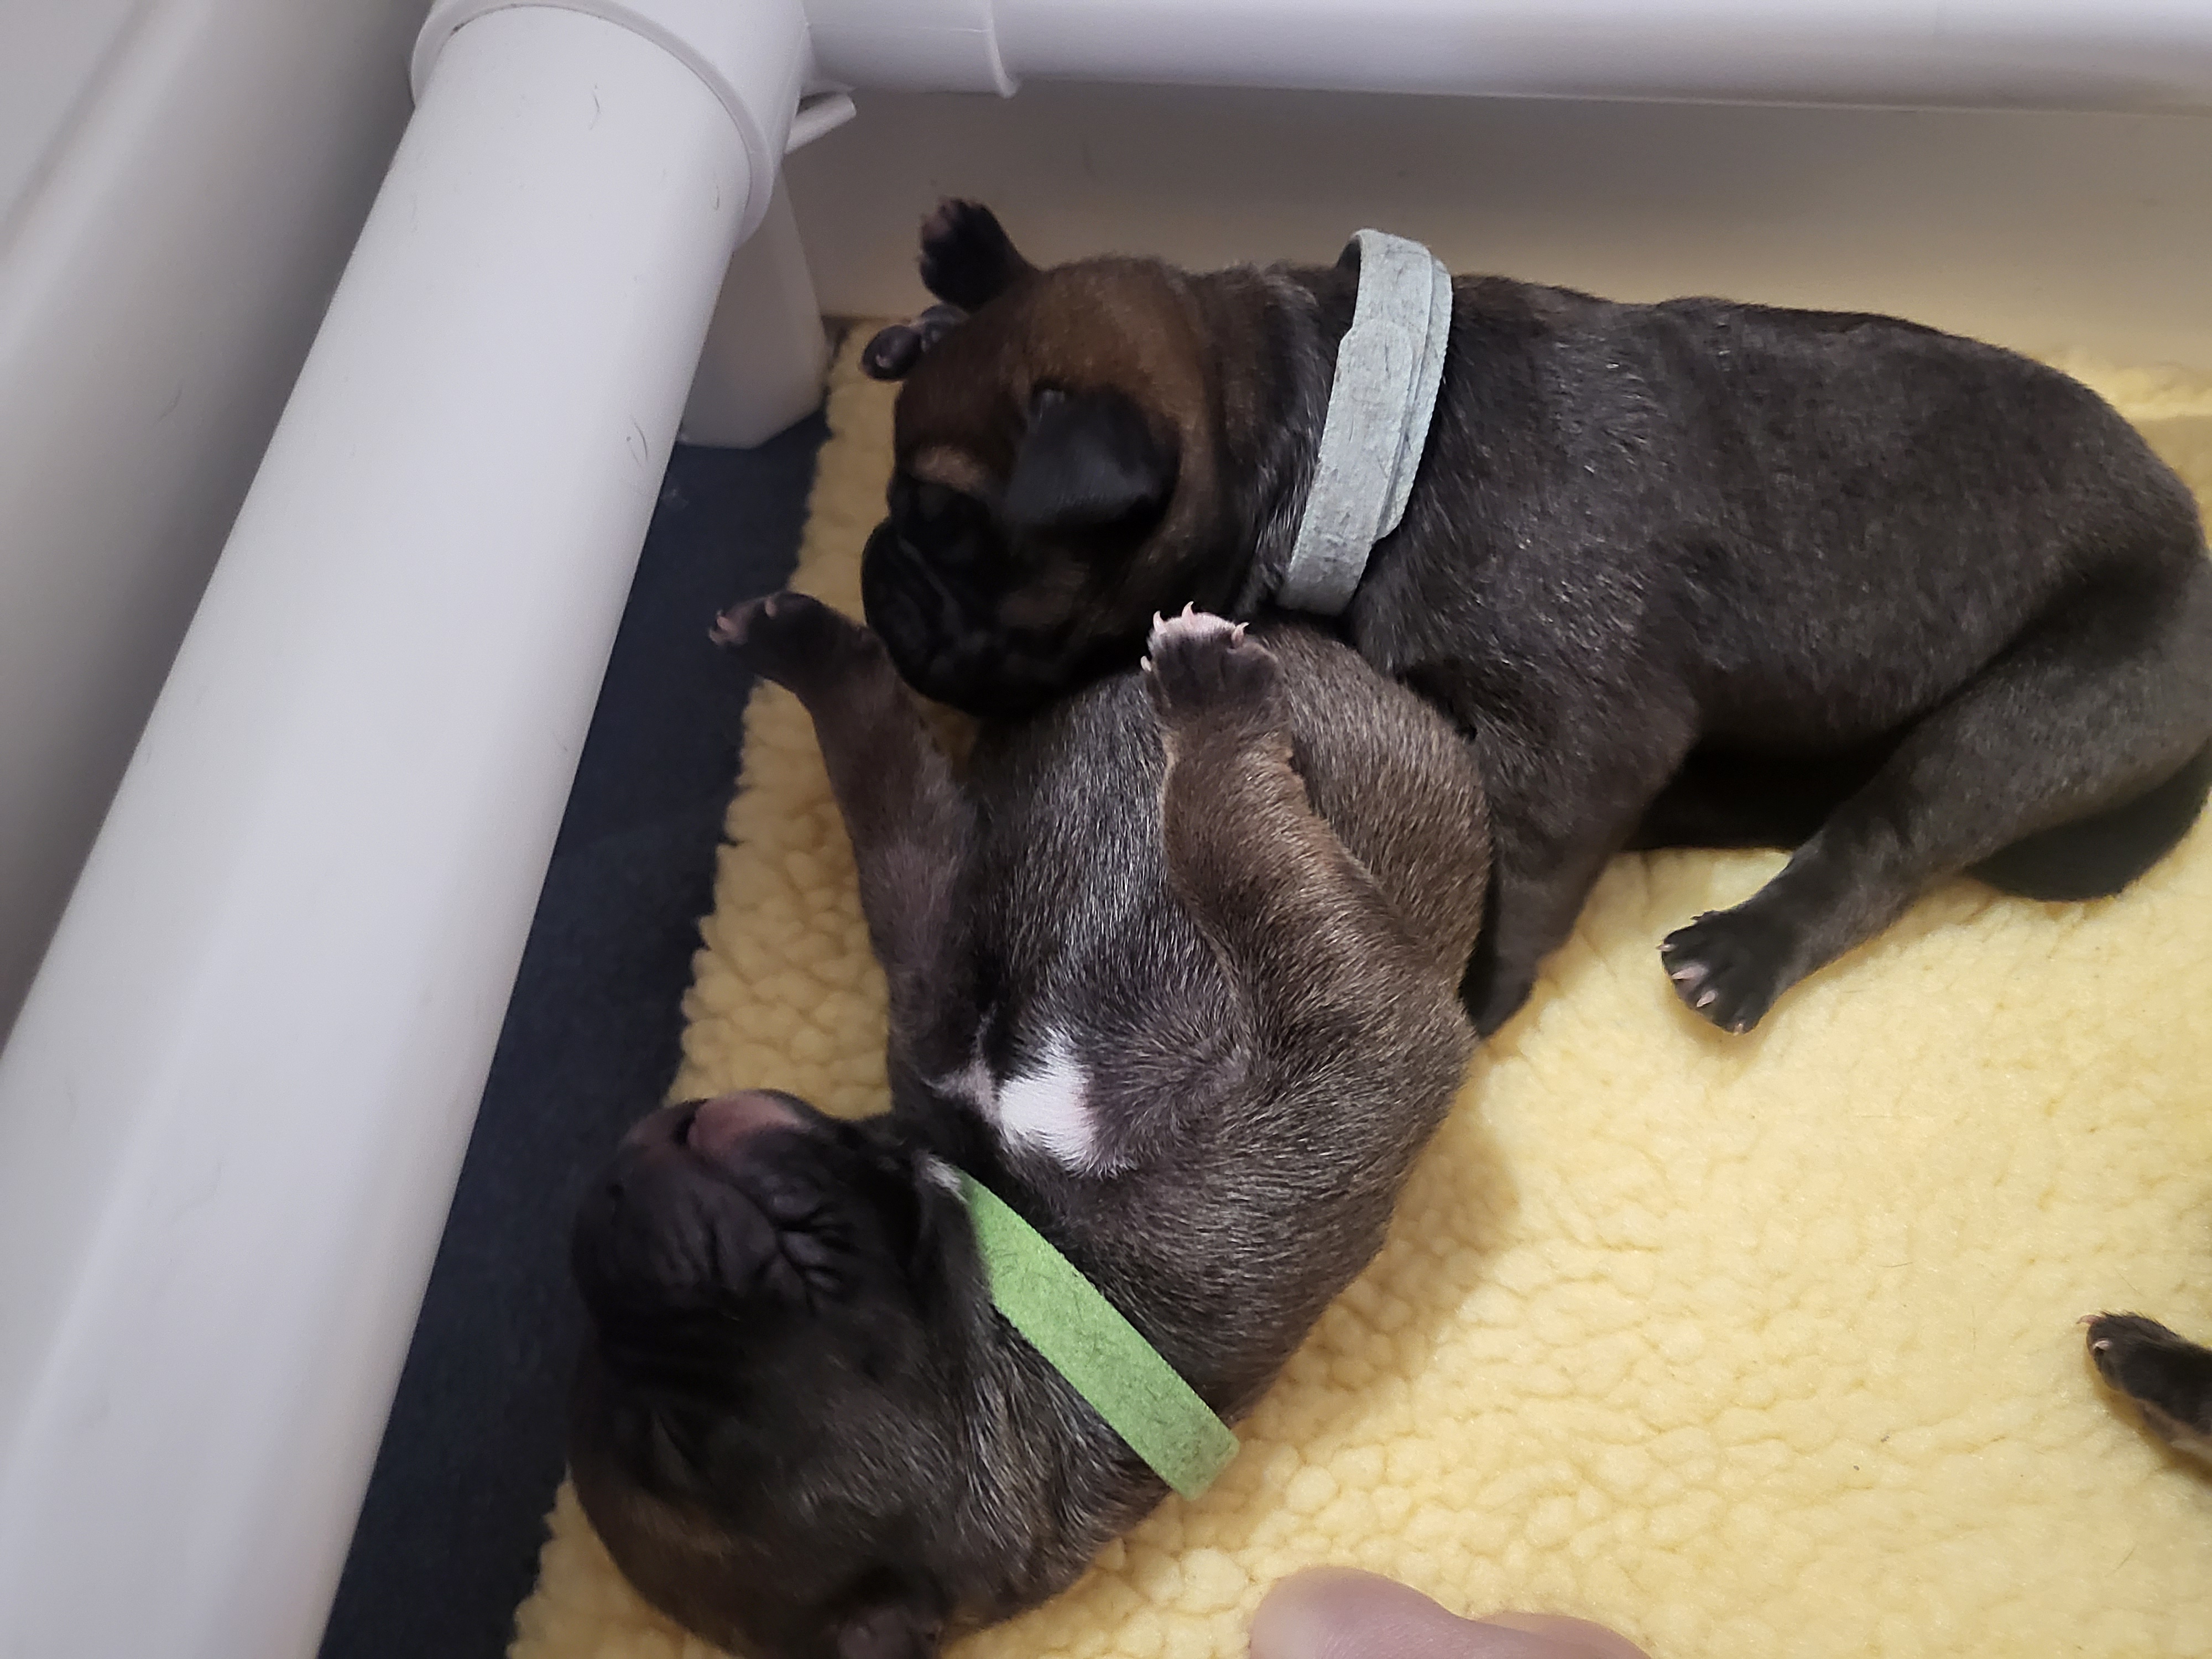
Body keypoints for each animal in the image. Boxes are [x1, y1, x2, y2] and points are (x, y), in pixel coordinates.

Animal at [566, 597, 1488, 1659]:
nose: (608, 1189)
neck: (999, 1248)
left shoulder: (941, 989)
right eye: (671, 1449)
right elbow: (1229, 849)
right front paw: (1213, 713)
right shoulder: (1349, 1060)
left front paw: (804, 652)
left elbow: (895, 821)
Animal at [855, 202, 2212, 1037]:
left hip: (2038, 713)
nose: (871, 575)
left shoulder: (1575, 746)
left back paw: (1744, 948)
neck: (1349, 422)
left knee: (1889, 833)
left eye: (950, 528)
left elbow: (1524, 880)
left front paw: (1469, 993)